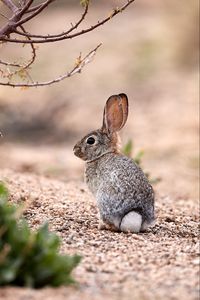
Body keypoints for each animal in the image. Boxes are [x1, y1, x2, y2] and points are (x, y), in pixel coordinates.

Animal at [73, 93, 155, 232]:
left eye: (90, 141)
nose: (74, 150)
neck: (103, 154)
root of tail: (135, 212)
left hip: (103, 199)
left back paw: (100, 226)